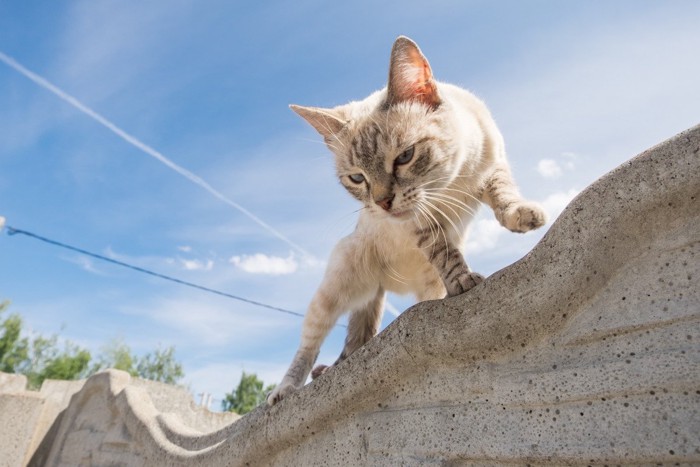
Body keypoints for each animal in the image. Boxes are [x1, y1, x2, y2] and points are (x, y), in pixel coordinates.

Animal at [268, 35, 548, 406]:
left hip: (413, 287)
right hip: (335, 289)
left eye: (404, 157)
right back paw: (284, 391)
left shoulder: (493, 169)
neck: (450, 184)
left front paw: (523, 216)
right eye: (357, 178)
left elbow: (505, 198)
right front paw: (464, 282)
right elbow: (447, 254)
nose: (383, 203)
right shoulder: (421, 225)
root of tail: (384, 284)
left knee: (359, 340)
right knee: (309, 345)